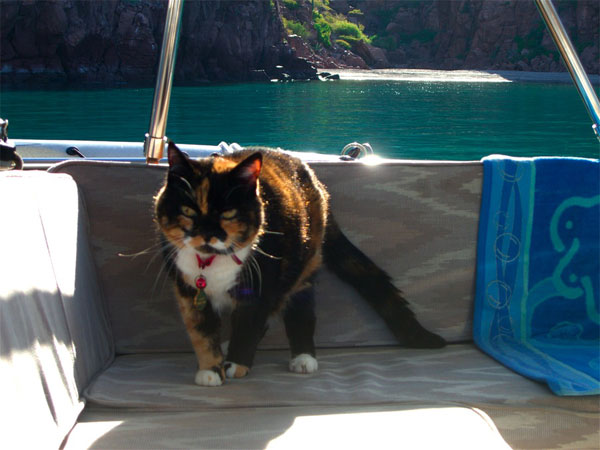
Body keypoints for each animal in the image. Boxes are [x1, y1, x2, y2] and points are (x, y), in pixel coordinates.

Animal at [155, 142, 446, 386]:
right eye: (188, 211)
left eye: (228, 213)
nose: (206, 234)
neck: (210, 265)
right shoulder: (188, 290)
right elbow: (202, 332)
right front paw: (210, 370)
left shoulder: (261, 285)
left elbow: (249, 324)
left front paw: (236, 364)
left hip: (304, 266)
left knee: (300, 310)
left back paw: (303, 358)